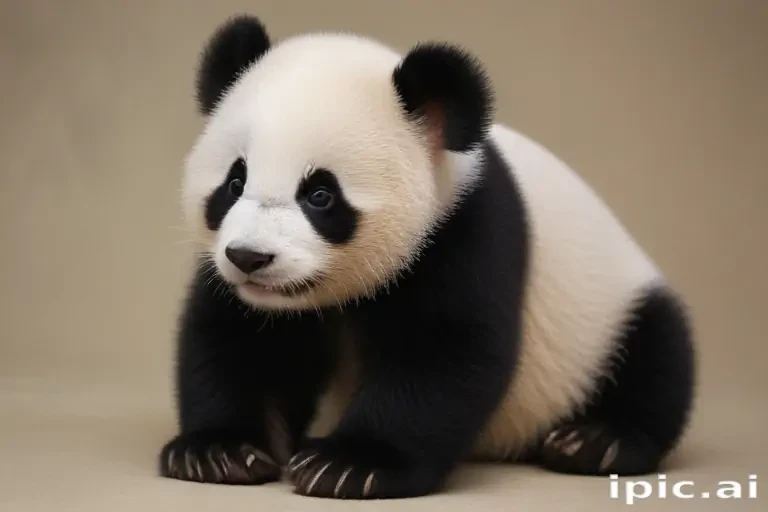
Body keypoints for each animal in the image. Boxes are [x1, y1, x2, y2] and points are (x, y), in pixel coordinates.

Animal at [159, 14, 696, 500]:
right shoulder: (236, 282)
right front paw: (217, 451)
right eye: (234, 182)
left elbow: (443, 351)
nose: (250, 257)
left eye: (320, 196)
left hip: (610, 313)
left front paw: (352, 465)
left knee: (657, 351)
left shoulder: (464, 228)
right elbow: (235, 339)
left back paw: (596, 441)